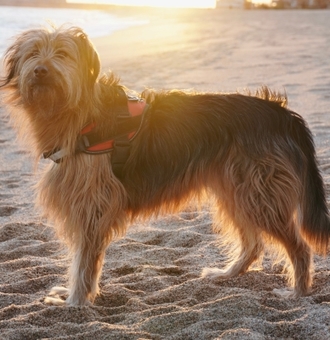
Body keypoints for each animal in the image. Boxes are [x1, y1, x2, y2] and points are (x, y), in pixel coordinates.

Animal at [0, 25, 328, 304]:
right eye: (33, 53)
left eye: (63, 54)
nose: (41, 70)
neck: (78, 113)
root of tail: (282, 114)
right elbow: (85, 258)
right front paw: (78, 296)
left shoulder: (92, 203)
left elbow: (83, 260)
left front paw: (75, 301)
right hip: (236, 188)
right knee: (253, 242)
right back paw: (228, 273)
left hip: (259, 191)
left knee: (299, 246)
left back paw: (298, 291)